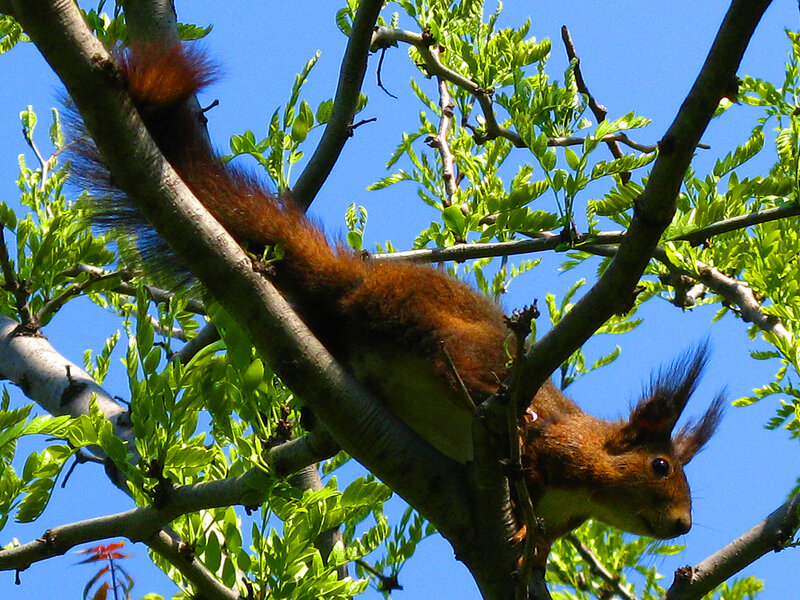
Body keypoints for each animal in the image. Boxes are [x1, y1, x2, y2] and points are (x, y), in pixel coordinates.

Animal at [69, 44, 723, 553]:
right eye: (661, 466)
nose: (684, 525)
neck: (588, 478)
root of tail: (359, 282)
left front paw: (532, 549)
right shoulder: (558, 450)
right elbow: (532, 468)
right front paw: (519, 519)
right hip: (437, 330)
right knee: (456, 362)